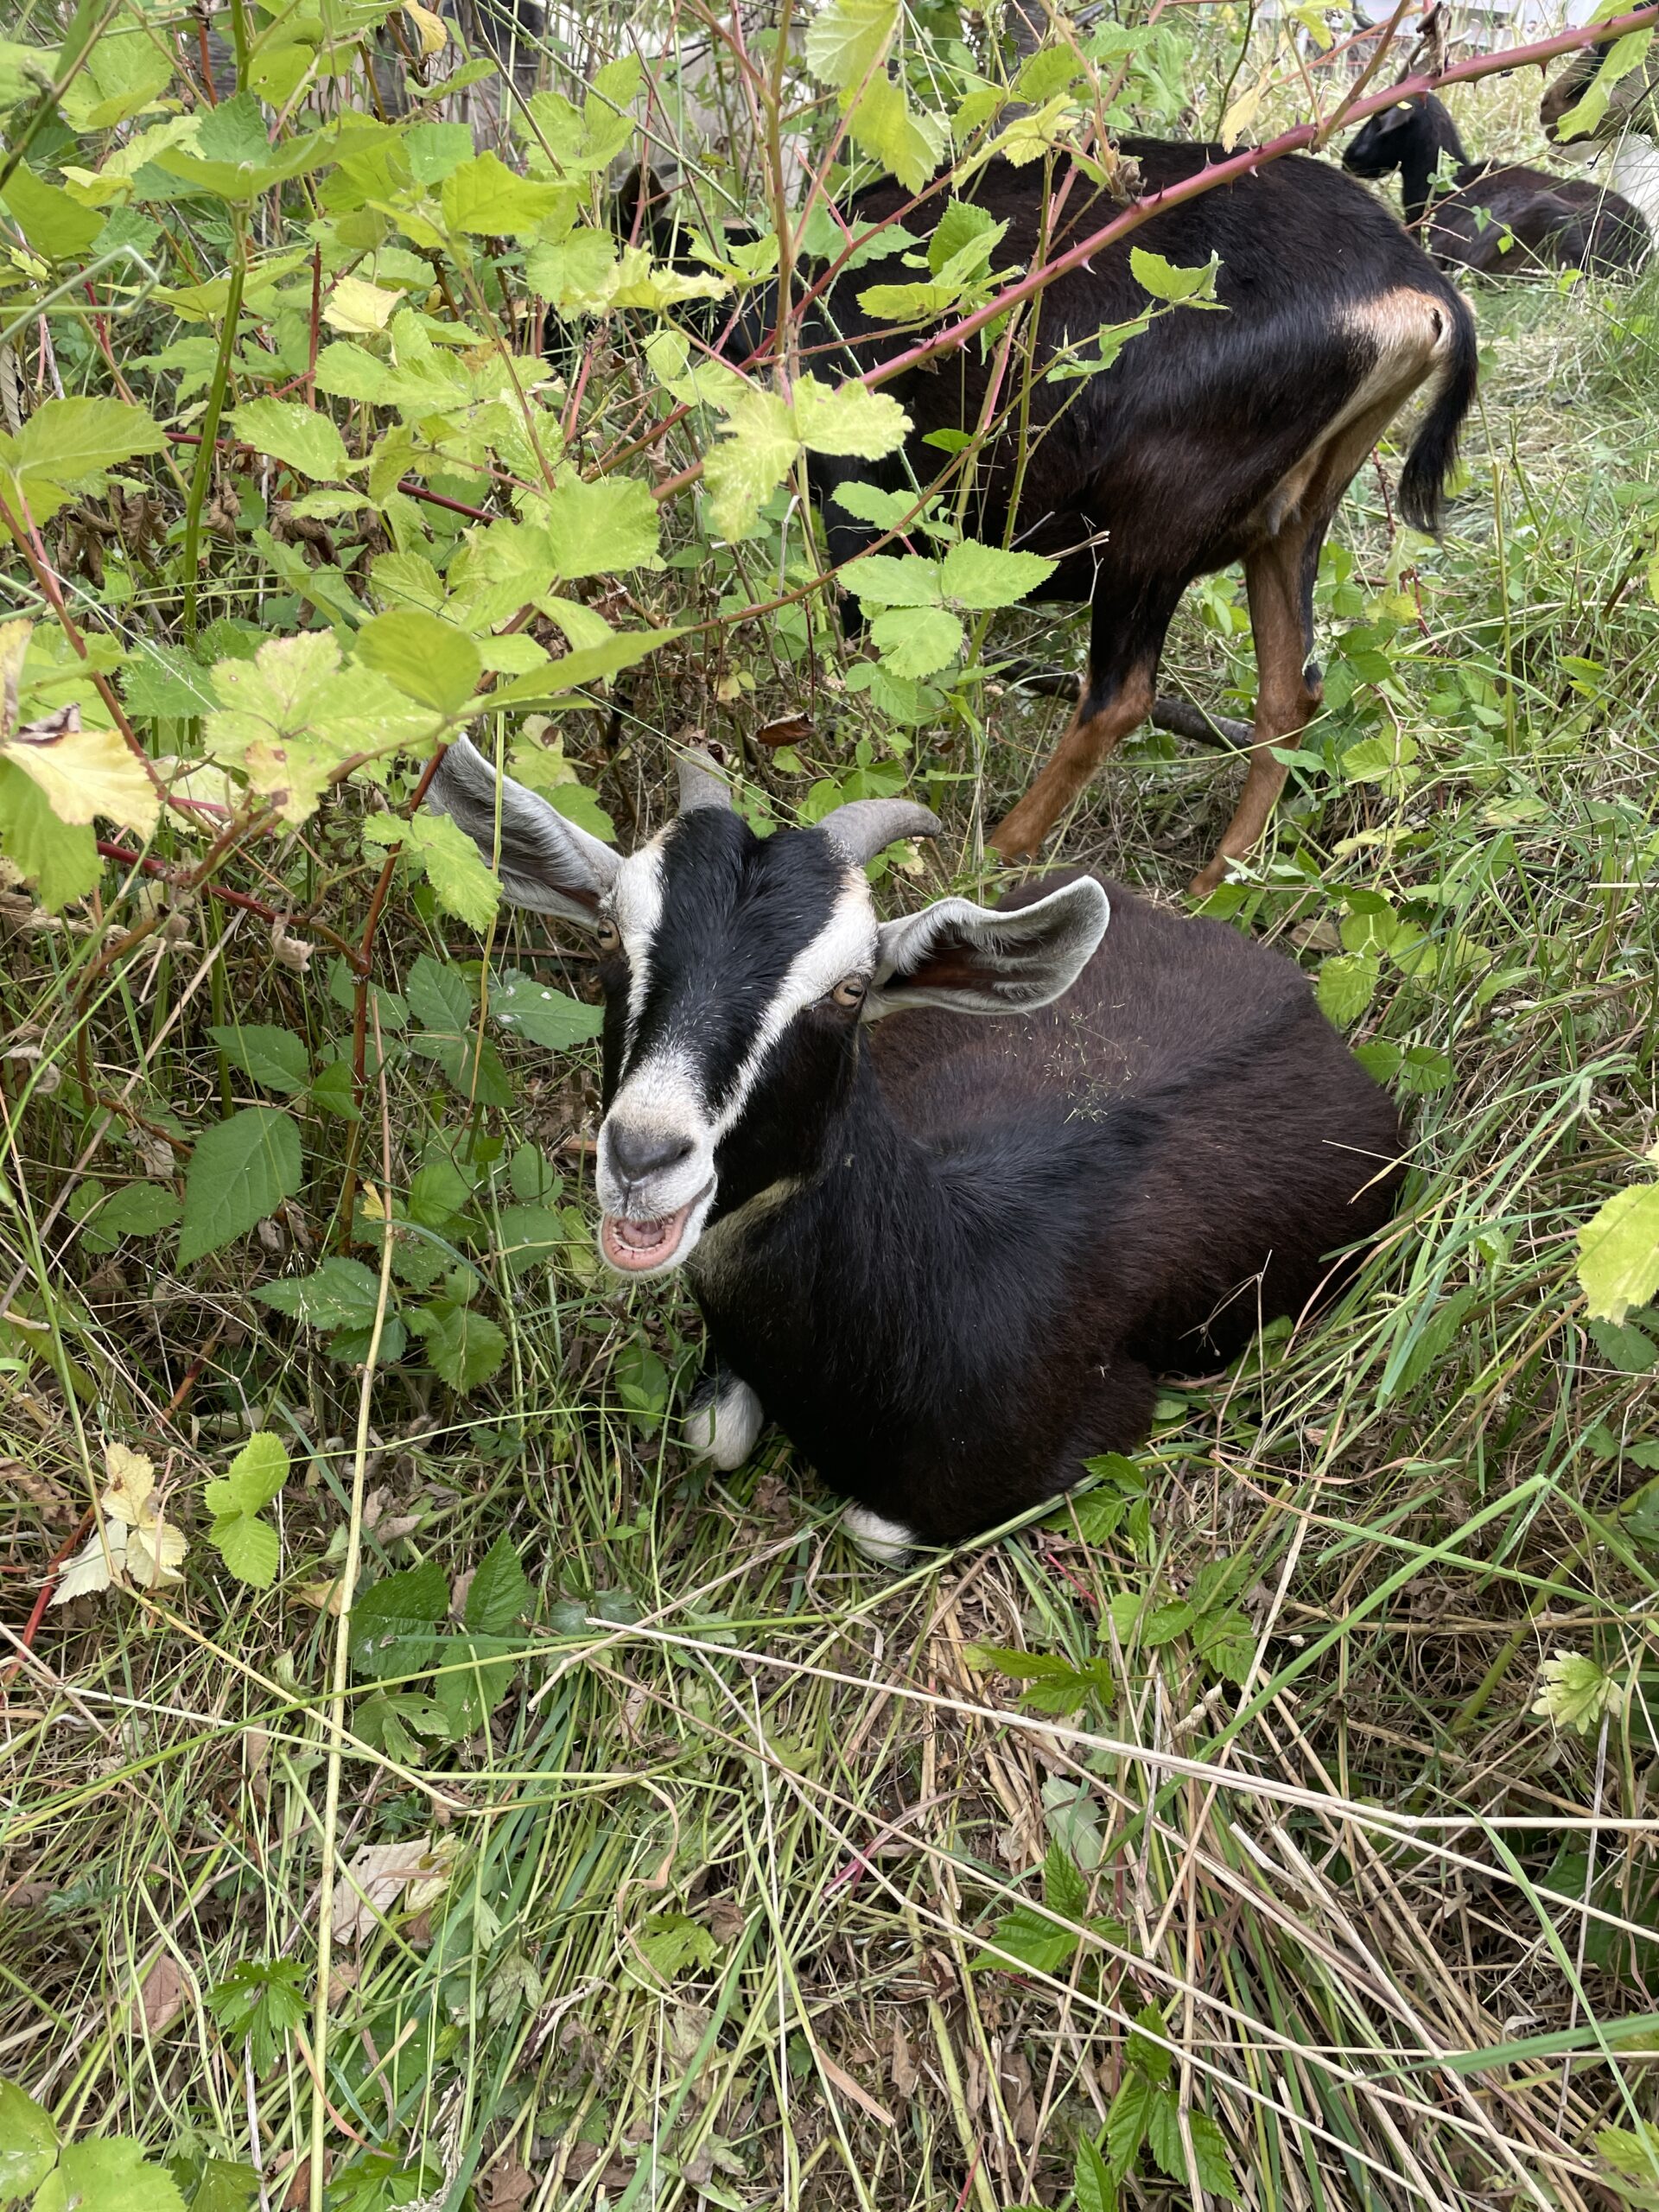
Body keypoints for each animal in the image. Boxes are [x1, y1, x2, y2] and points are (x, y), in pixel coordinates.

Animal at [429, 734, 1404, 1555]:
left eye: (851, 988)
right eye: (607, 936)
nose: (641, 1159)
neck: (945, 1273)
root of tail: (1288, 986)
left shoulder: (1091, 1432)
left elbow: (874, 1528)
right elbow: (713, 1436)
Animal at [630, 147, 1476, 896]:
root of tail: (1422, 298)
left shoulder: (859, 502)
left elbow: (866, 646)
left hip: (1159, 516)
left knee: (1121, 695)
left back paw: (996, 854)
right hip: (1294, 518)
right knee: (1289, 693)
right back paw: (1215, 883)